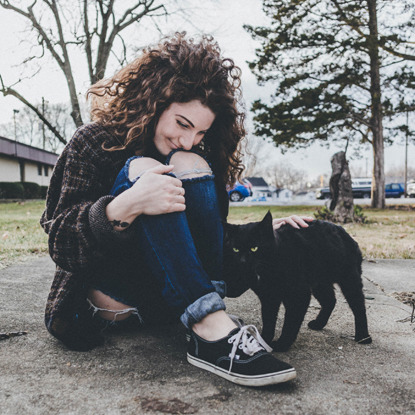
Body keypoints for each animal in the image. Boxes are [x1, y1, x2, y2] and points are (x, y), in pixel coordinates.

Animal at [224, 213, 374, 352]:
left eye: (254, 248)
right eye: (235, 249)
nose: (243, 261)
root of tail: (344, 232)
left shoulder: (298, 295)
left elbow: (290, 323)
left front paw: (282, 344)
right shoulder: (268, 298)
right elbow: (268, 320)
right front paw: (263, 340)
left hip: (349, 281)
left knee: (359, 306)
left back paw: (363, 337)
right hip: (319, 283)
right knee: (330, 300)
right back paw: (319, 324)